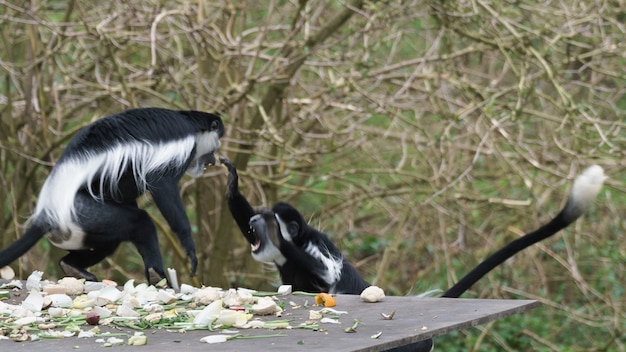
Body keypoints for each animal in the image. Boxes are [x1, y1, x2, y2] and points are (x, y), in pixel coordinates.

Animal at [0, 108, 224, 284]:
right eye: (215, 147)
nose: (213, 161)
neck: (191, 125)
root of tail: (48, 208)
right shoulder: (181, 148)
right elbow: (163, 185)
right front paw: (189, 248)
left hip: (82, 226)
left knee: (110, 240)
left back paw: (72, 267)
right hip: (85, 211)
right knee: (140, 223)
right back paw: (156, 276)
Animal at [221, 159, 604, 352]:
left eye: (270, 219)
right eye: (258, 217)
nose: (256, 222)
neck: (298, 247)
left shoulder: (314, 251)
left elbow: (324, 276)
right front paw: (232, 183)